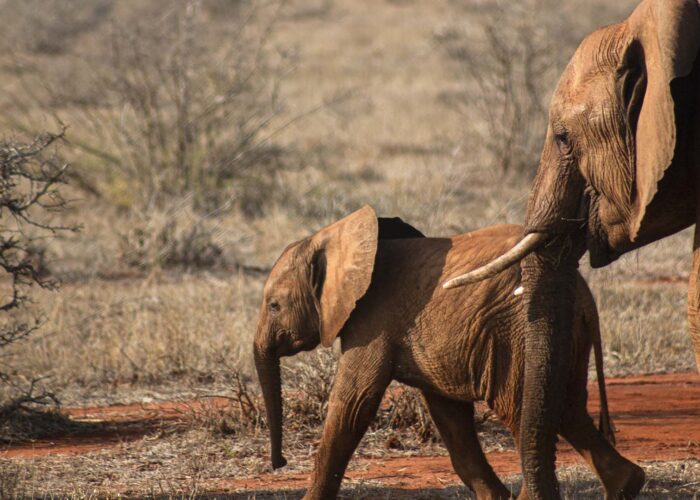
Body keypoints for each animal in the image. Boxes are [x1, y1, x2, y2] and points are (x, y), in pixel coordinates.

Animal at [253, 206, 643, 499]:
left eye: (273, 306)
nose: (280, 462)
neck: (337, 237)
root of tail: (586, 297)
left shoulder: (372, 320)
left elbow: (352, 405)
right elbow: (449, 414)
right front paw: (494, 499)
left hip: (517, 332)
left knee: (523, 411)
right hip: (564, 336)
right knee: (566, 407)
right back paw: (626, 486)